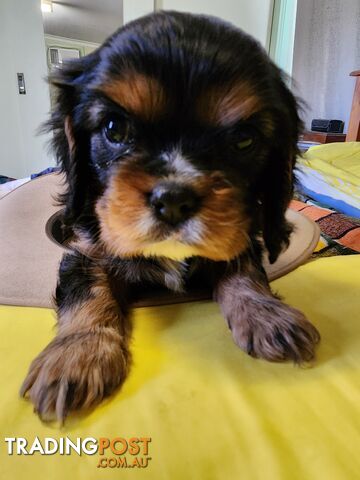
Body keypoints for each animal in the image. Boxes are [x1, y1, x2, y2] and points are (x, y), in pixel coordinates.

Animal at [21, 11, 320, 420]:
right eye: (115, 128)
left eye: (243, 140)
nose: (174, 199)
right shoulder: (86, 250)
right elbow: (88, 292)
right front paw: (76, 356)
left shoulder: (239, 236)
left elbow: (245, 273)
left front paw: (267, 316)